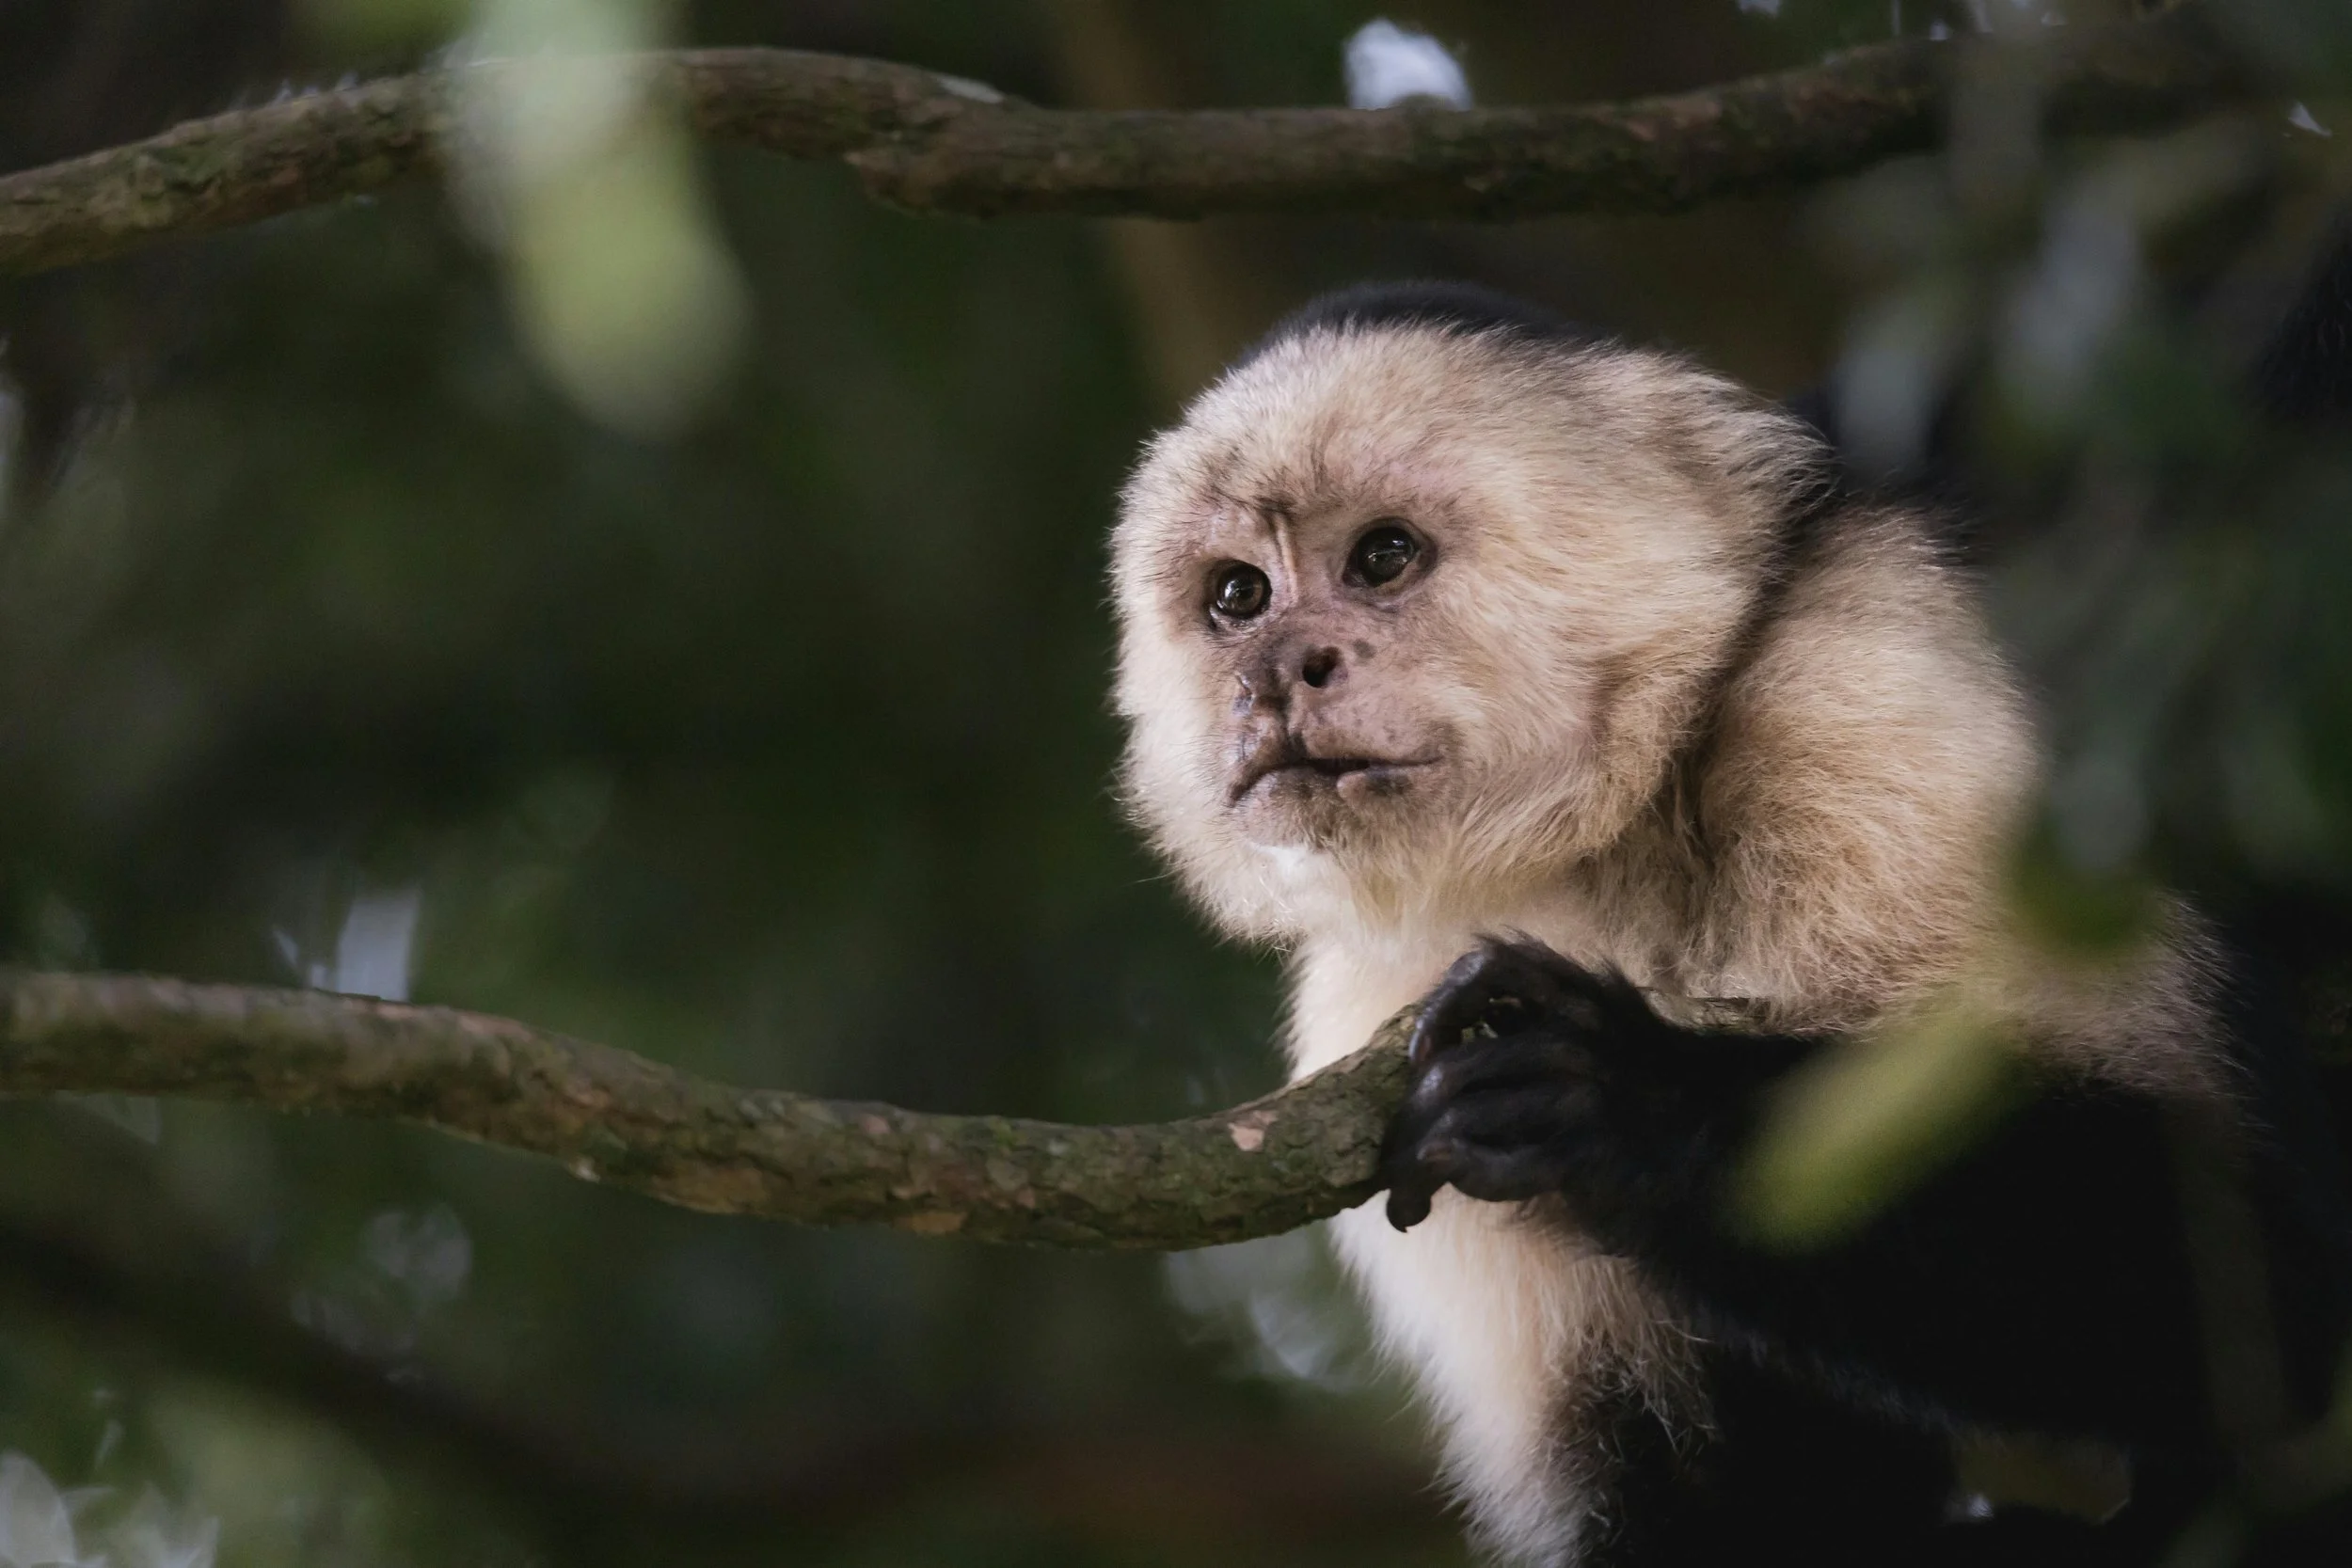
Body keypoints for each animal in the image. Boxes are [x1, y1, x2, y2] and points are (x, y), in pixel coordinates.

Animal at [1107, 279, 2352, 1566]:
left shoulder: (1867, 691)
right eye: (1238, 595)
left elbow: (2261, 1273)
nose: (1274, 672)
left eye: (1382, 555)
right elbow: (1733, 1512)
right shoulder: (1367, 1000)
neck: (1614, 827)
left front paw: (1614, 1096)